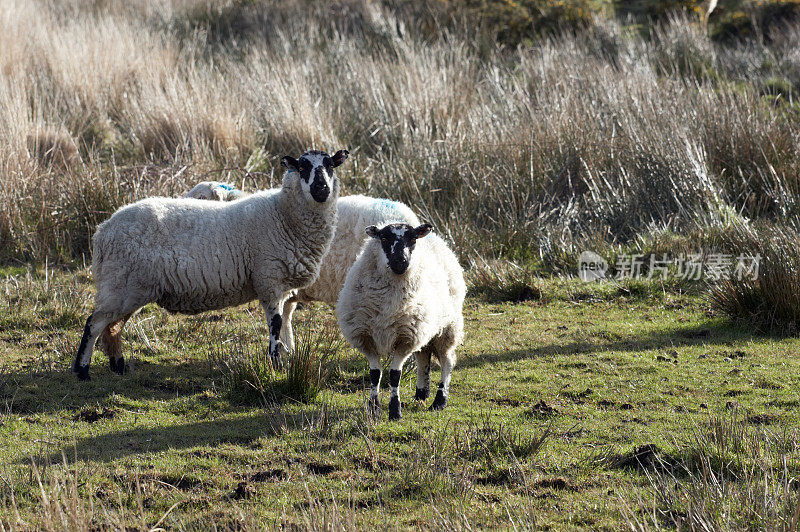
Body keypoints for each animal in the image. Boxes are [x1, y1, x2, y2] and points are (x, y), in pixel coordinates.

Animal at [73, 148, 348, 380]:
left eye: (330, 165)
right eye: (302, 167)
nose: (322, 188)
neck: (284, 215)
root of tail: (103, 231)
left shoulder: (280, 287)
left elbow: (283, 327)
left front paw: (282, 359)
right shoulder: (269, 281)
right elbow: (276, 326)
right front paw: (276, 365)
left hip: (128, 288)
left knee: (112, 328)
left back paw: (118, 365)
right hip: (121, 285)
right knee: (94, 324)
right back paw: (82, 370)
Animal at [334, 221, 466, 420]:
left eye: (413, 239)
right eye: (383, 238)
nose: (400, 262)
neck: (388, 302)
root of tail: (437, 239)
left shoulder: (404, 338)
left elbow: (395, 374)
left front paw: (395, 410)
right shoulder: (367, 338)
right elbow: (375, 374)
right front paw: (374, 408)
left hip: (447, 327)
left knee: (447, 361)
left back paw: (439, 401)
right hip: (424, 326)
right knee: (423, 356)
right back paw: (421, 393)